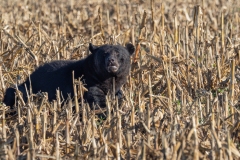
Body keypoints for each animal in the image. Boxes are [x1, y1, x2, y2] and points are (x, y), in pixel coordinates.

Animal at [3, 42, 135, 109]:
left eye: (118, 53)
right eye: (104, 54)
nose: (111, 61)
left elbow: (118, 95)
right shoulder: (87, 84)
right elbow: (96, 98)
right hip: (29, 89)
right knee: (15, 91)